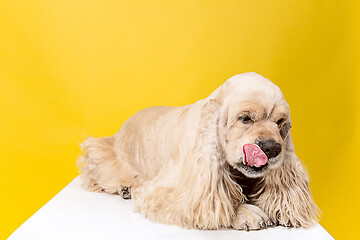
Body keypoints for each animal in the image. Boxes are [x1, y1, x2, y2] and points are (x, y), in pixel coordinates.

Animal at [78, 72, 318, 230]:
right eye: (245, 118)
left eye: (280, 123)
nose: (273, 148)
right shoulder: (170, 191)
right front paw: (245, 212)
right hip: (105, 155)